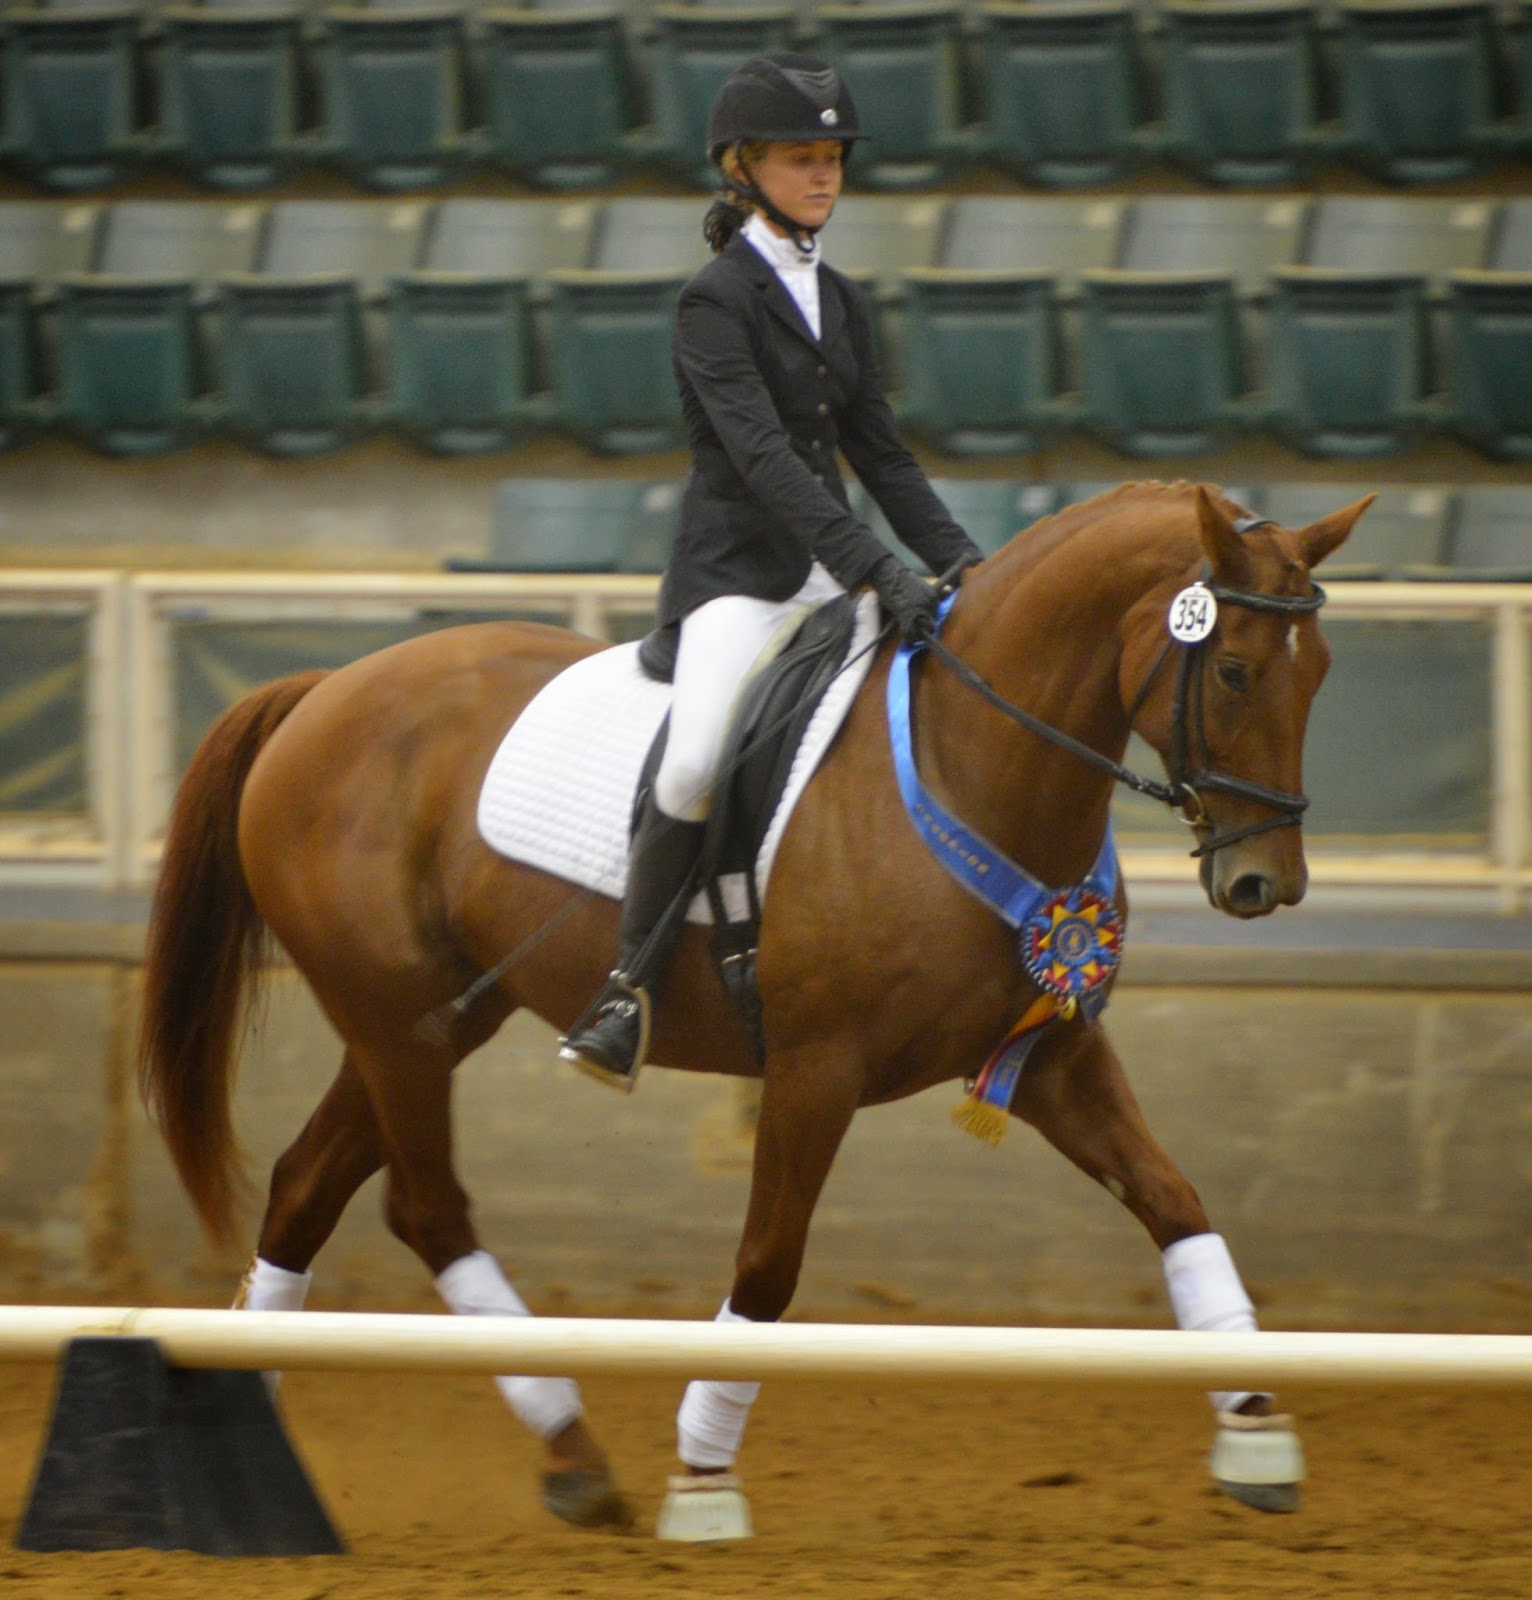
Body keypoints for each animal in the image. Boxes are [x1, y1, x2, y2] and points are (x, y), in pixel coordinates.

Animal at [139, 480, 1367, 1538]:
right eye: (1236, 672)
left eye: (1321, 673)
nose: (1265, 884)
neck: (968, 764)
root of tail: (323, 688)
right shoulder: (817, 1068)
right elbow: (768, 1264)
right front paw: (703, 1475)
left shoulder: (1051, 1051)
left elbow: (1175, 1204)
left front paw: (1256, 1431)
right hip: (396, 1021)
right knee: (427, 1209)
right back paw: (573, 1448)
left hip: (432, 1018)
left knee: (309, 1184)